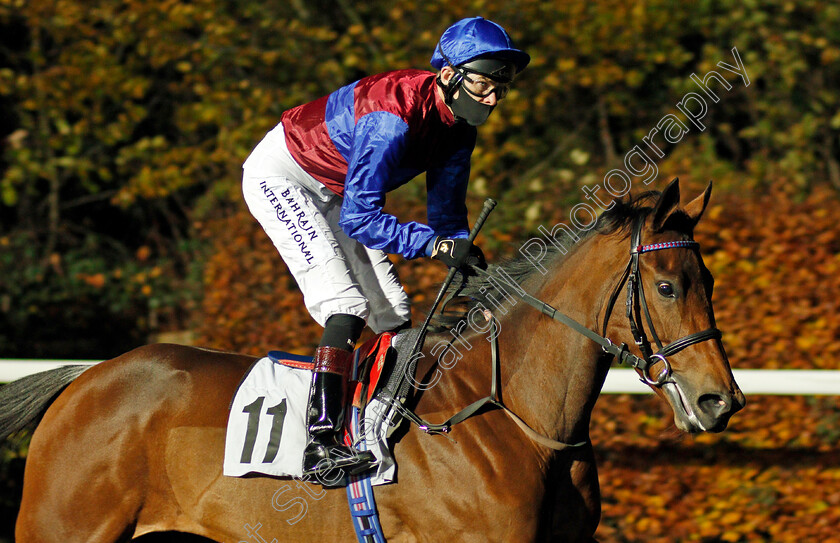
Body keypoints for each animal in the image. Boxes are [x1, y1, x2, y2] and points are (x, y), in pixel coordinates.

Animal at [3, 178, 744, 540]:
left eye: (709, 280)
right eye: (668, 285)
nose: (720, 400)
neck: (517, 422)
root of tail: (86, 378)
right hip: (63, 527)